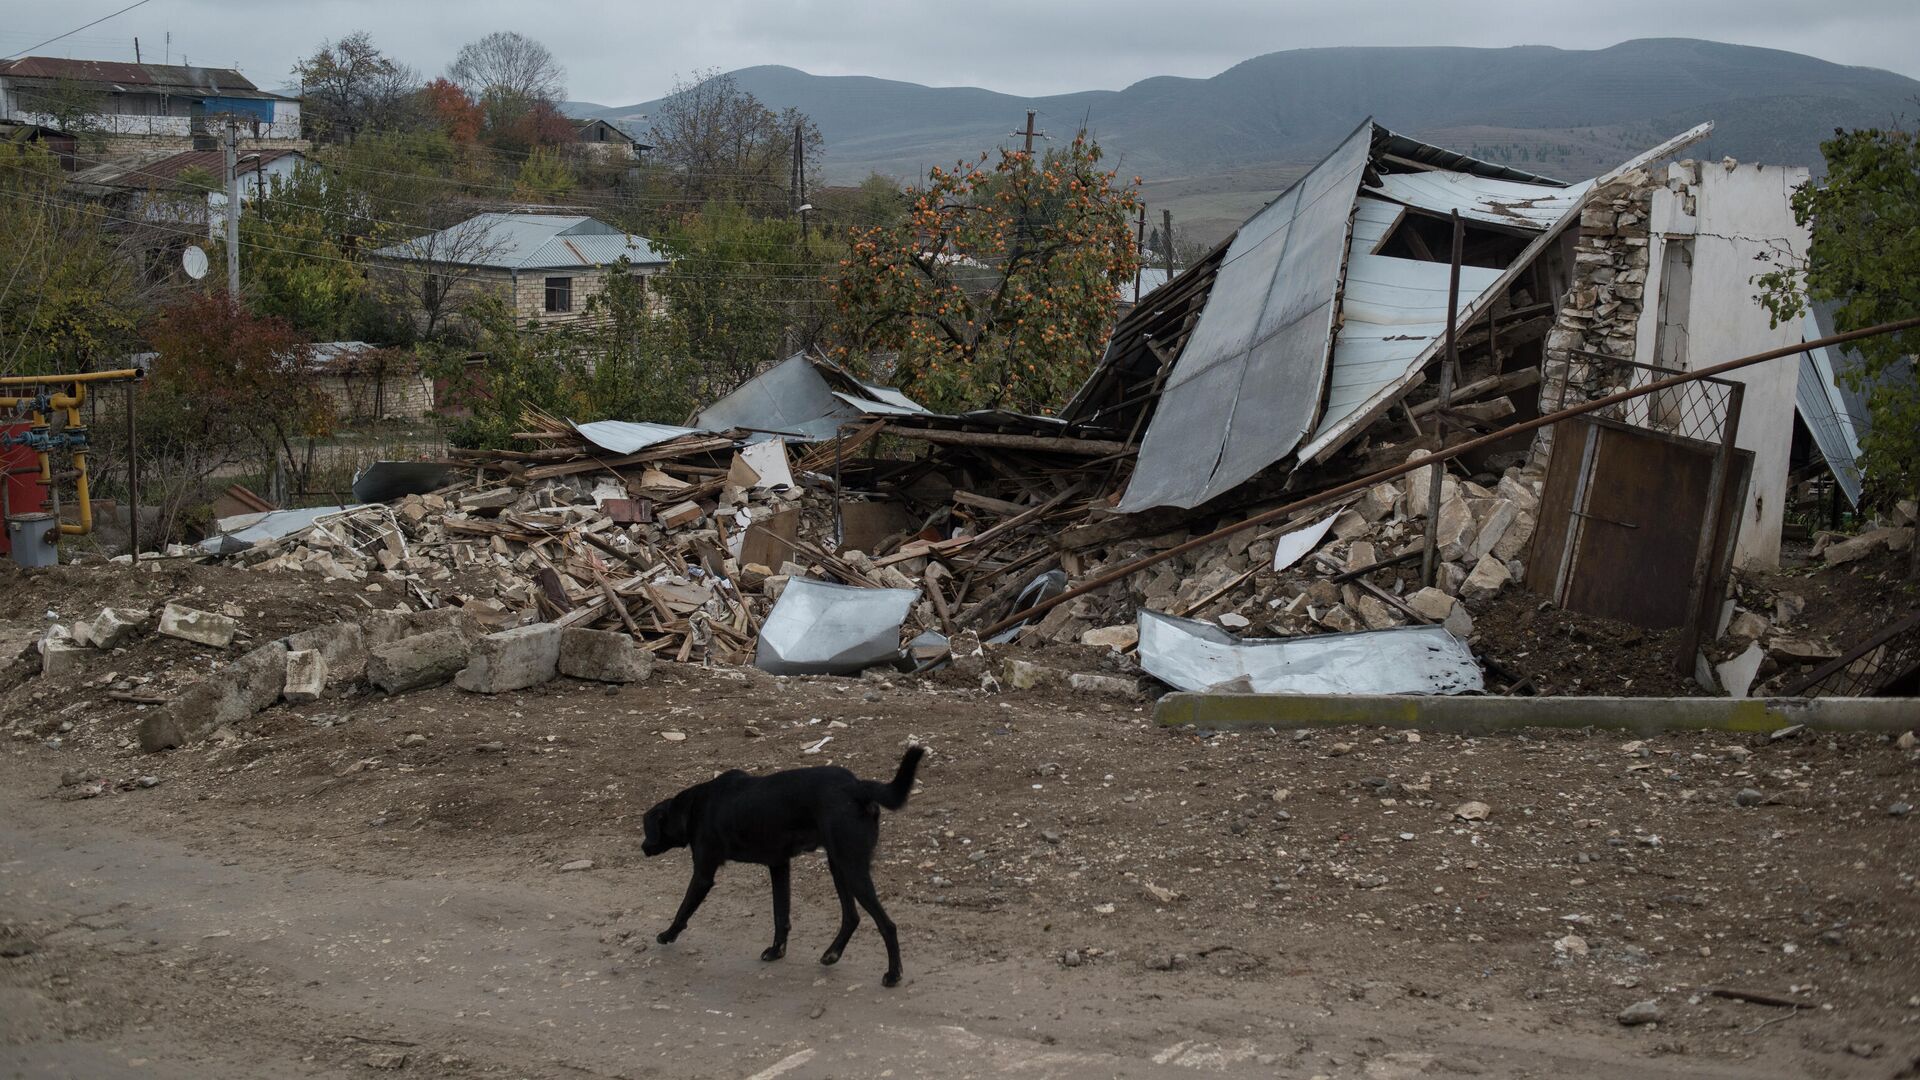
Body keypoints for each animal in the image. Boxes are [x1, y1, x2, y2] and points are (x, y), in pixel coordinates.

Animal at [637, 745, 921, 980]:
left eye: (648, 829)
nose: (642, 847)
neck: (695, 806)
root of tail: (857, 786)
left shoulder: (703, 874)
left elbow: (683, 909)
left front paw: (668, 934)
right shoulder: (779, 865)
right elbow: (780, 914)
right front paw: (776, 951)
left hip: (851, 868)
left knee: (887, 925)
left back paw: (893, 974)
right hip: (839, 865)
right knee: (851, 916)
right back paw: (832, 954)